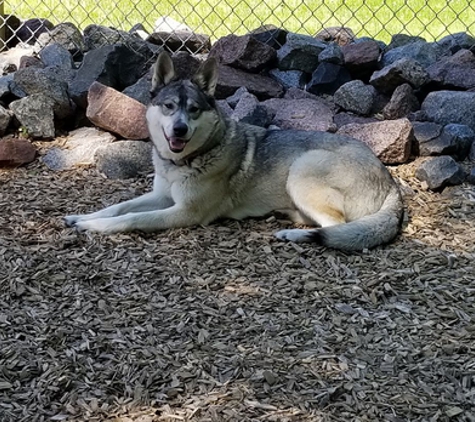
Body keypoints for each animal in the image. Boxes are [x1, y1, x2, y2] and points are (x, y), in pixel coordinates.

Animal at [65, 52, 404, 251]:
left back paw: (293, 236)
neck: (186, 161)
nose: (180, 129)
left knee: (336, 228)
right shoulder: (161, 196)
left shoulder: (184, 212)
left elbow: (131, 218)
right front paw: (81, 216)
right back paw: (286, 216)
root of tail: (391, 183)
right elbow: (119, 207)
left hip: (303, 168)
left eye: (194, 109)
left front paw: (93, 226)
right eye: (169, 106)